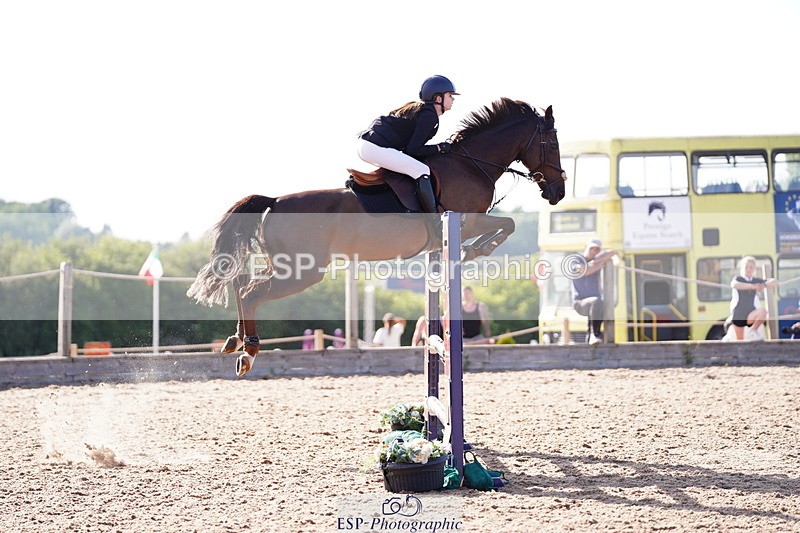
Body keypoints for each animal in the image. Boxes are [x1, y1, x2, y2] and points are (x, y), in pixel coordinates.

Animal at [187, 97, 567, 376]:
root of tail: (275, 201)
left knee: (241, 284)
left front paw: (472, 251)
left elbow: (508, 226)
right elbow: (508, 225)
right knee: (250, 292)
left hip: (286, 265)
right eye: (551, 143)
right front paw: (475, 251)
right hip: (302, 272)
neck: (471, 163)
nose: (558, 193)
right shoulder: (469, 220)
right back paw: (249, 351)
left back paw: (235, 341)